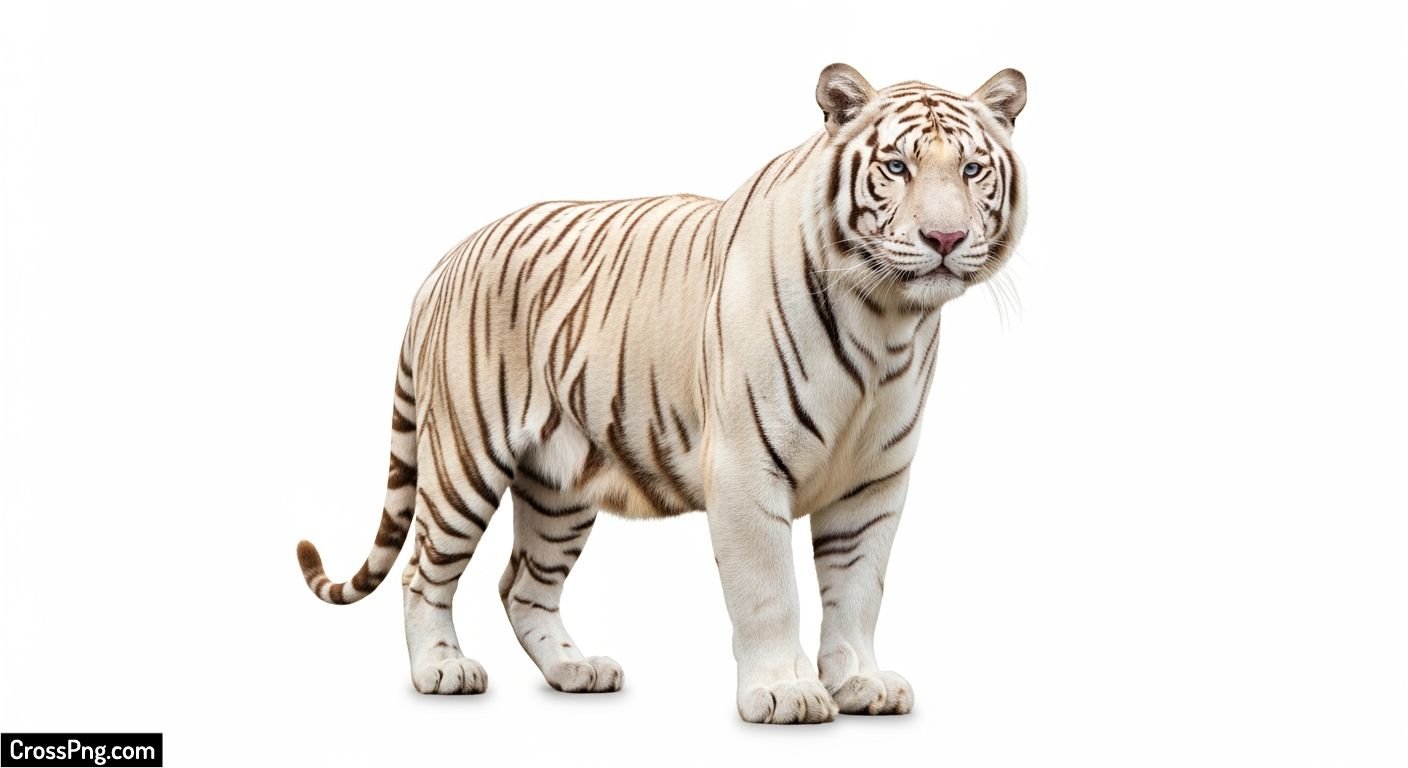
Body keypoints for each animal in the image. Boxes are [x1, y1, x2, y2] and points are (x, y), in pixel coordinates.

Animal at [296, 63, 1028, 724]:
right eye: (898, 167)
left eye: (971, 170)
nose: (945, 238)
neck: (887, 320)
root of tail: (444, 263)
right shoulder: (745, 466)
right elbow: (771, 591)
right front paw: (787, 693)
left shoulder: (874, 480)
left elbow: (857, 591)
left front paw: (860, 683)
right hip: (463, 461)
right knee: (423, 570)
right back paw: (442, 670)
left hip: (560, 486)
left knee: (523, 584)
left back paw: (576, 669)